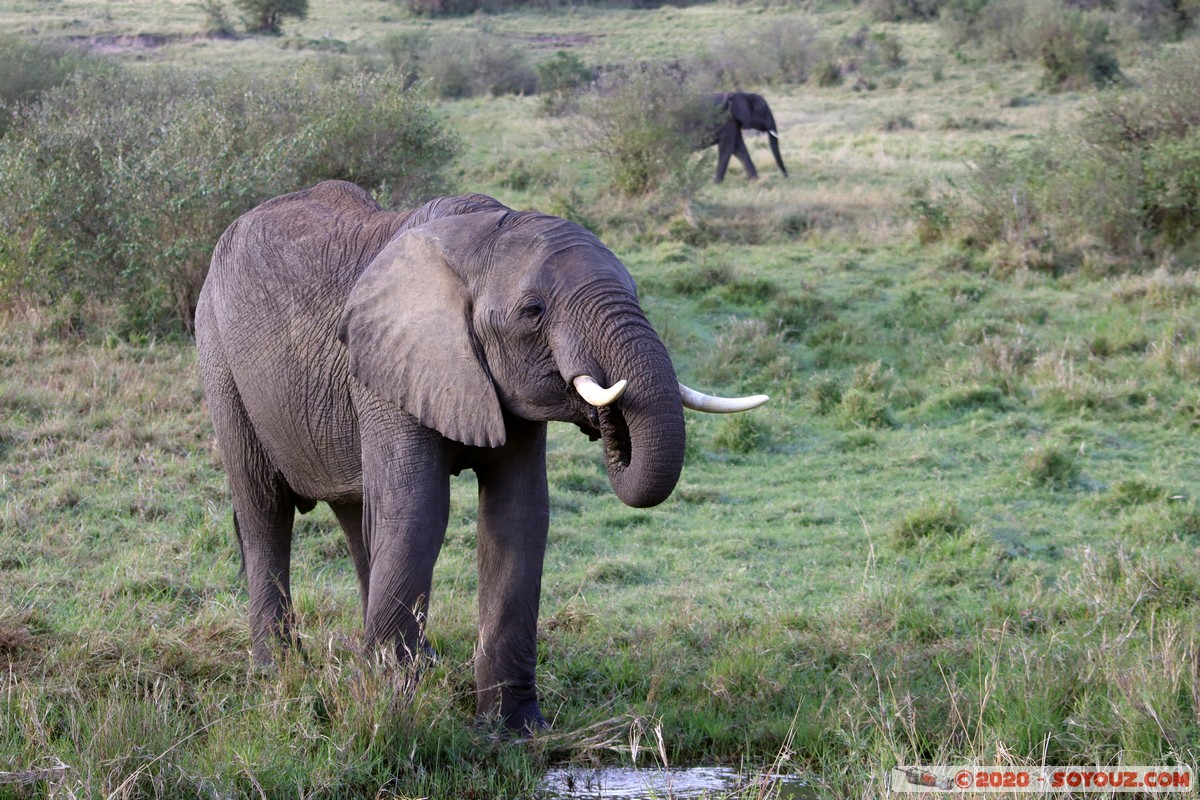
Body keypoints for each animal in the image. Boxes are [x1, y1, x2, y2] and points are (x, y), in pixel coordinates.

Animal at [192, 181, 763, 734]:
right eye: (533, 312)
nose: (608, 422)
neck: (478, 235)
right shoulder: (391, 366)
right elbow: (418, 511)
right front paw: (390, 714)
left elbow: (518, 516)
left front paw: (513, 730)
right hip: (218, 358)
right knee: (266, 510)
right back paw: (279, 671)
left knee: (359, 517)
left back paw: (408, 659)